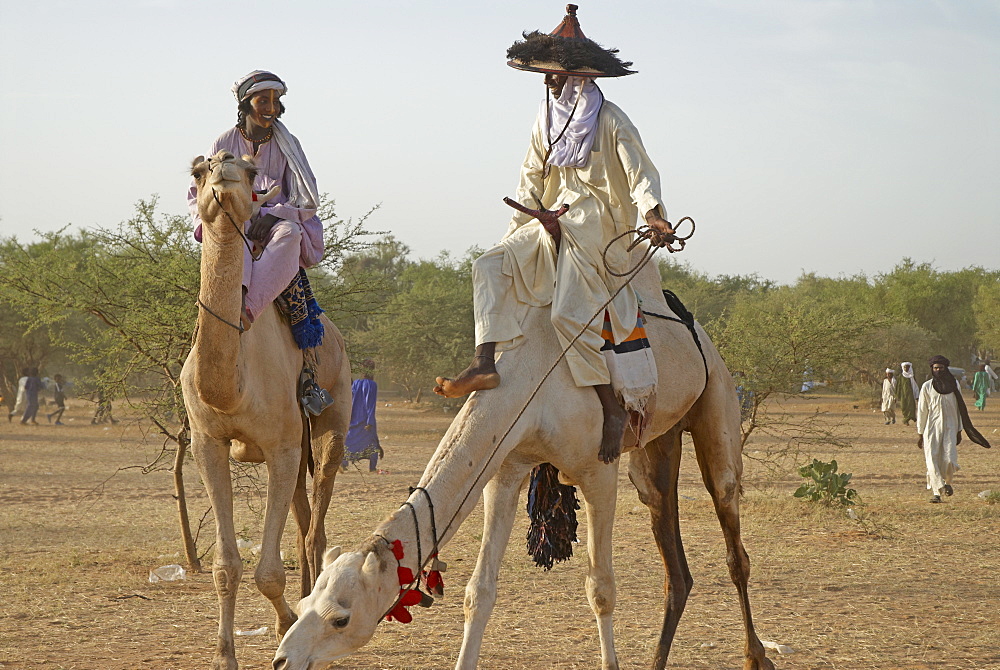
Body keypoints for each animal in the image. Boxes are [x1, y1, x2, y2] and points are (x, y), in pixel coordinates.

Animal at [184, 151, 352, 670]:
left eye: (250, 170)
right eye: (197, 171)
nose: (222, 166)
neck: (231, 386)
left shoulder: (279, 445)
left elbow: (268, 573)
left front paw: (286, 627)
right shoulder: (207, 443)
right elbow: (226, 566)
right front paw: (225, 655)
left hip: (332, 416)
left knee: (316, 525)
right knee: (302, 518)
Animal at [272, 247, 772, 670]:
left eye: (340, 617)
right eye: (305, 602)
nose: (283, 660)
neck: (534, 379)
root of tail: (695, 327)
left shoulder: (598, 471)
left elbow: (601, 589)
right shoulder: (505, 469)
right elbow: (479, 591)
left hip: (716, 395)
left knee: (731, 526)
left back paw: (757, 655)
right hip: (658, 440)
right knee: (670, 546)